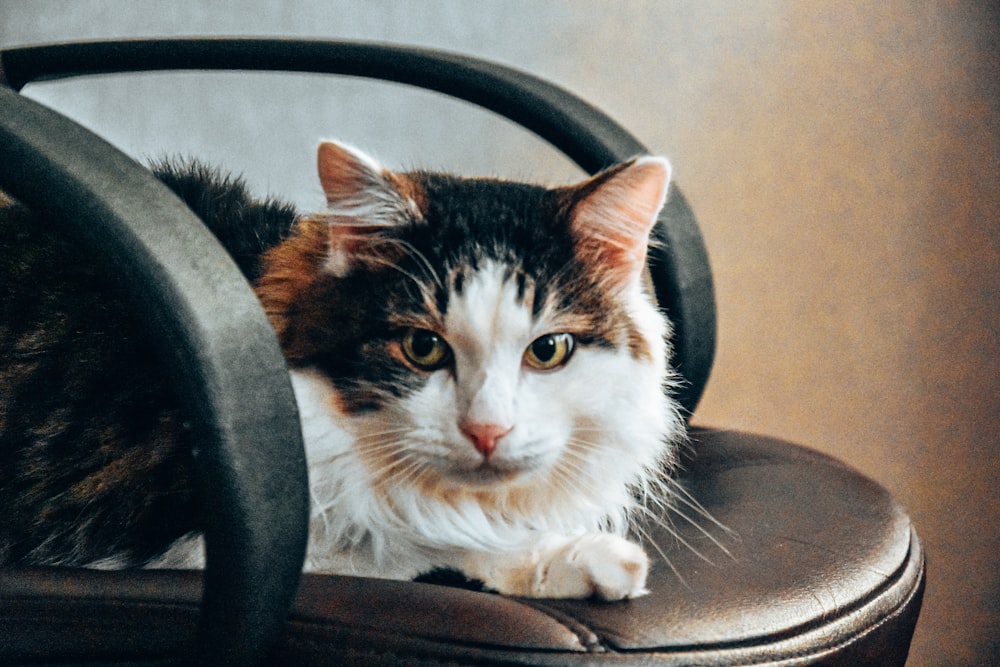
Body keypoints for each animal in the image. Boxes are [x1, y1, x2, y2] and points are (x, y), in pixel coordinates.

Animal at [0, 141, 684, 600]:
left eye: (548, 351)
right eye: (422, 347)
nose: (487, 432)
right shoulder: (164, 536)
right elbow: (414, 544)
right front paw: (583, 558)